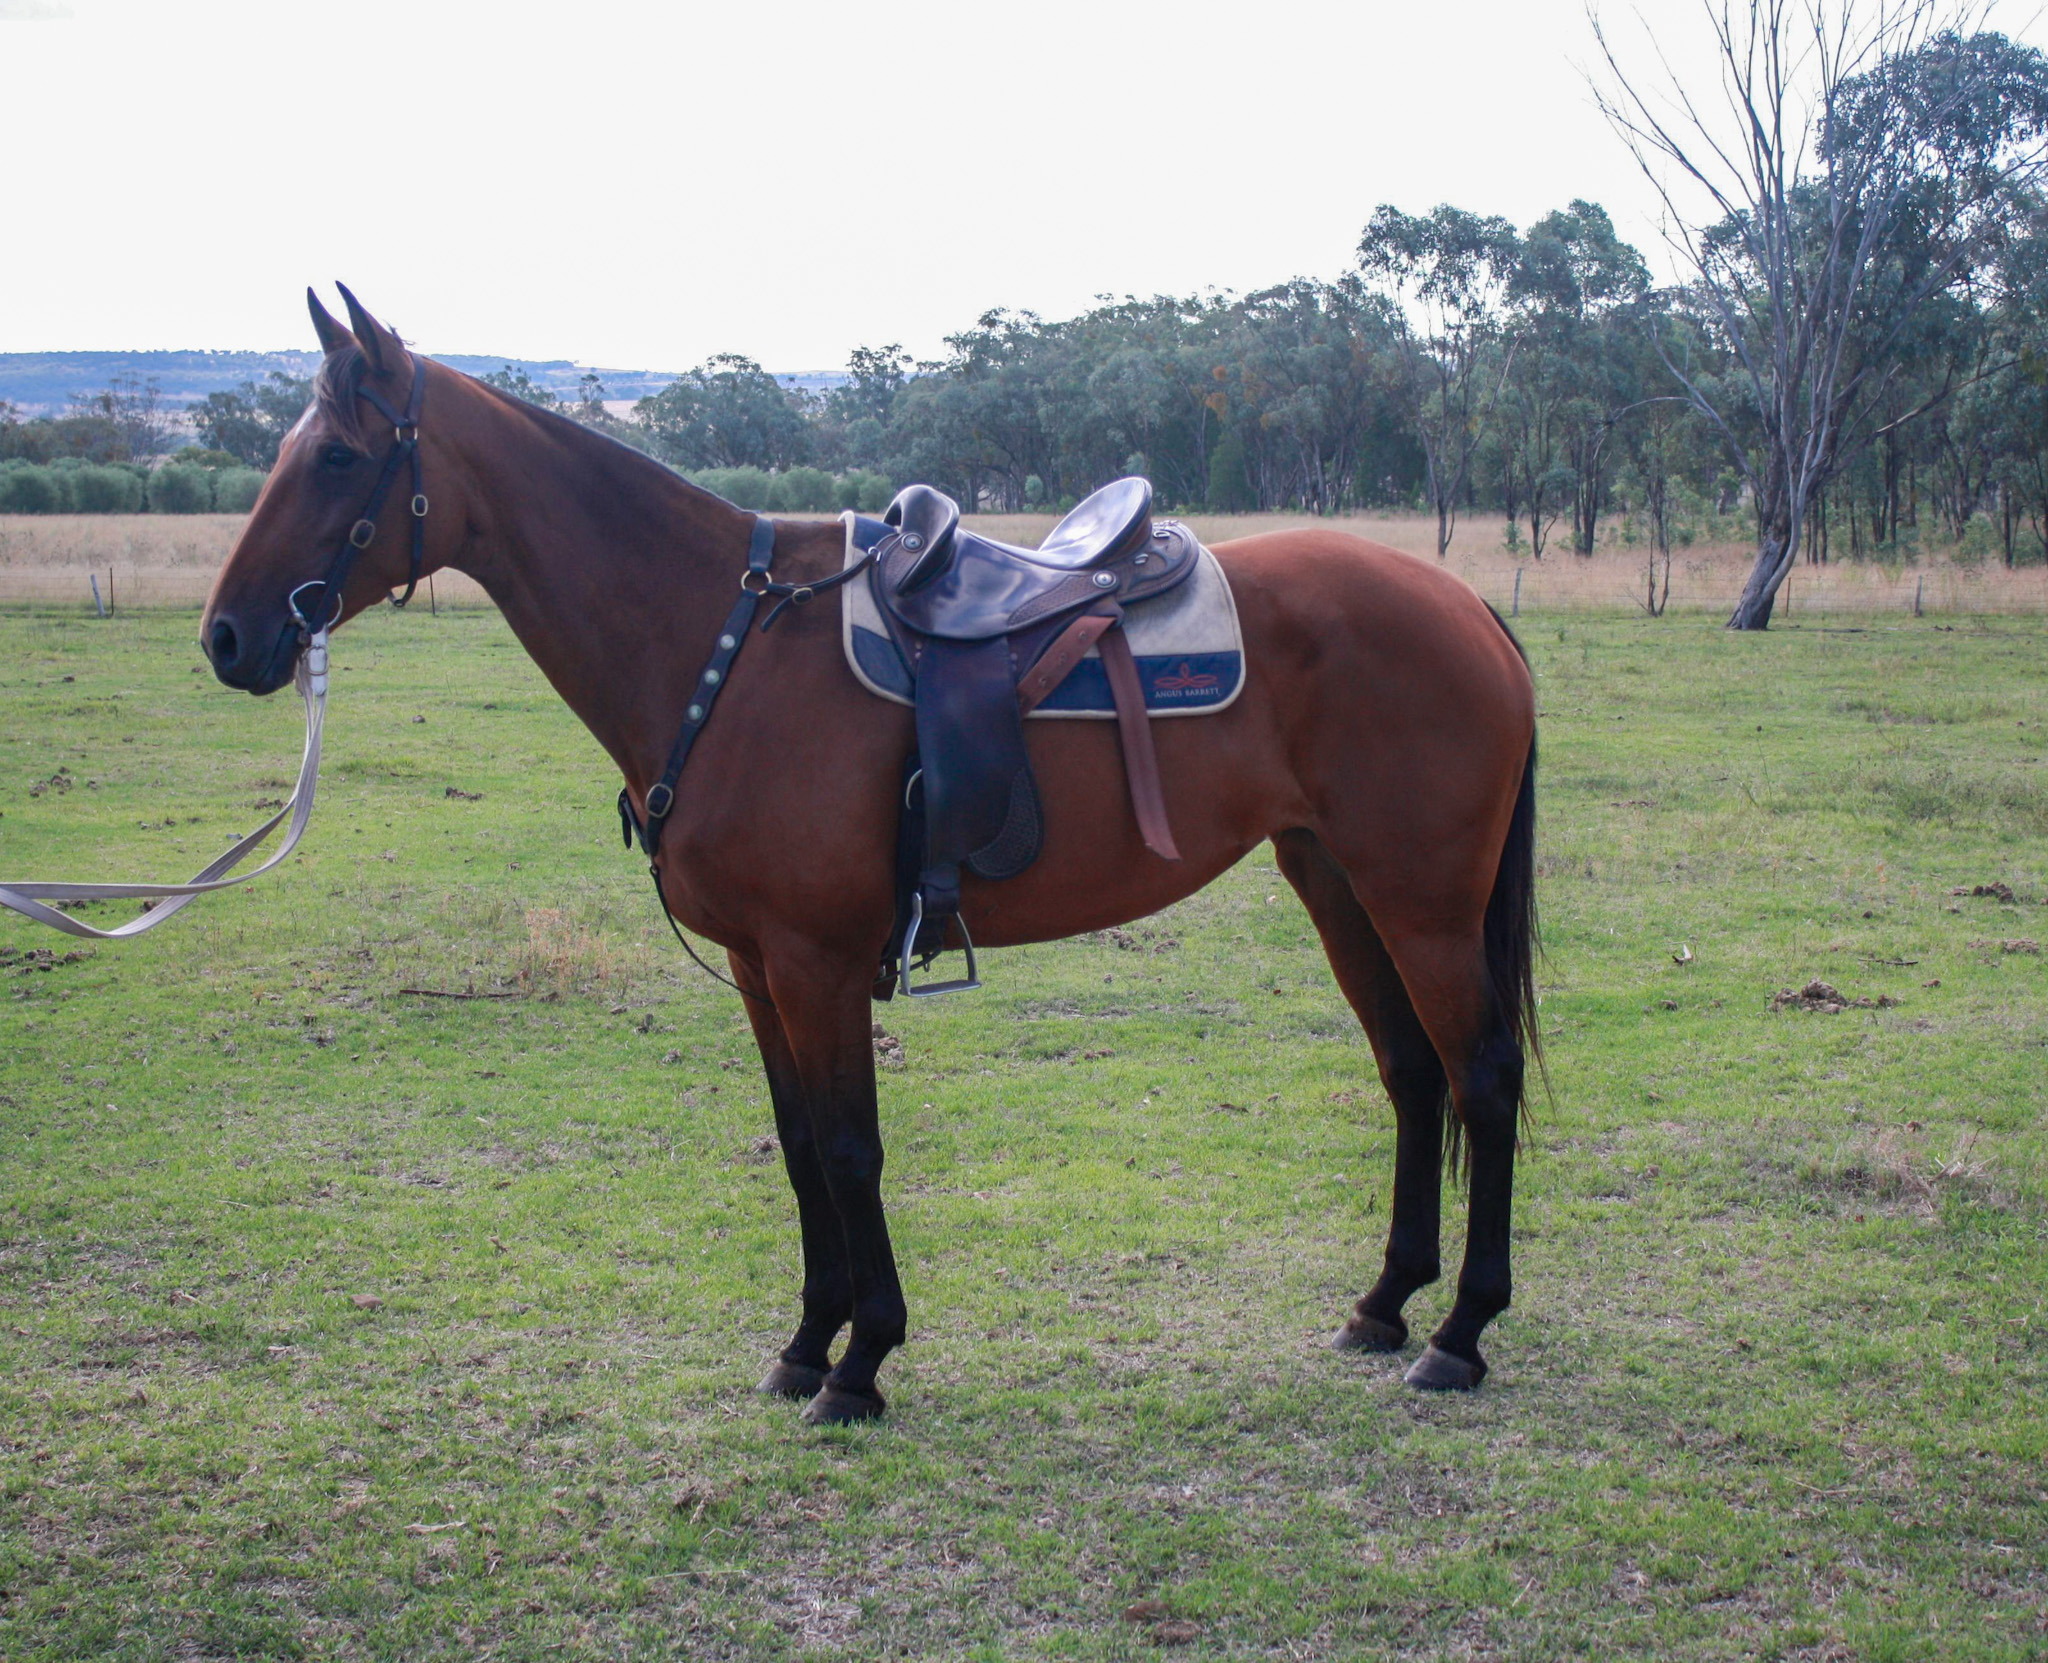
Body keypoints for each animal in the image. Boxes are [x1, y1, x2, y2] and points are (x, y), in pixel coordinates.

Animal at [201, 287, 1541, 1425]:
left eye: (335, 457)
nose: (226, 637)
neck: (726, 645)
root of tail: (1464, 606)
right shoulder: (759, 968)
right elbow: (801, 1151)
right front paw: (806, 1346)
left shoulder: (817, 960)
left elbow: (850, 1149)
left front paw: (863, 1361)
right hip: (1337, 883)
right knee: (1410, 1073)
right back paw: (1383, 1306)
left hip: (1419, 901)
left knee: (1477, 1075)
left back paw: (1459, 1333)